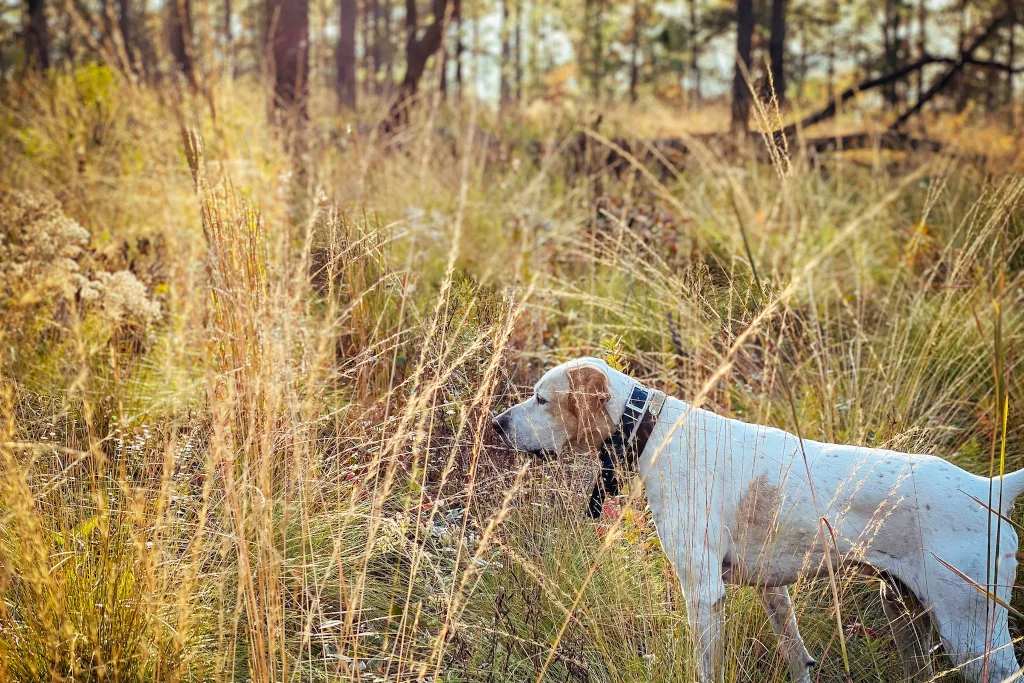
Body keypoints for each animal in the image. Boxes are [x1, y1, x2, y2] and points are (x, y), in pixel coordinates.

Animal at [495, 358, 1024, 683]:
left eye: (541, 399)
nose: (497, 424)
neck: (654, 431)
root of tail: (989, 488)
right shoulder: (774, 591)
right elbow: (796, 654)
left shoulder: (704, 591)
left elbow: (705, 667)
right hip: (906, 613)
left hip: (972, 631)